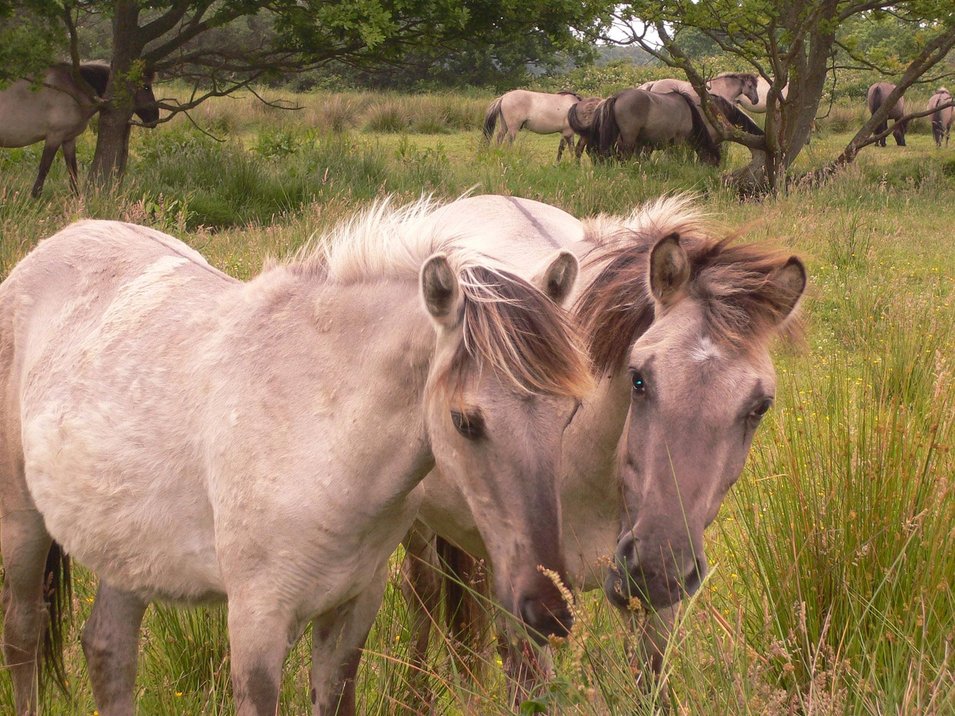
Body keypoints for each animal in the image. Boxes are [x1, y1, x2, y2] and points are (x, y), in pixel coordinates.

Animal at [0, 60, 159, 196]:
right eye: (146, 87)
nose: (154, 117)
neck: (73, 91)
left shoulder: (69, 139)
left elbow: (73, 171)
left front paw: (77, 198)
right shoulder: (54, 137)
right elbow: (44, 168)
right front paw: (35, 197)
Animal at [0, 197, 592, 716]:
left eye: (570, 413)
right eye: (465, 421)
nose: (548, 608)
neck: (322, 431)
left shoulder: (351, 613)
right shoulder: (258, 622)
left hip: (126, 548)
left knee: (108, 648)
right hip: (24, 529)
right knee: (23, 636)